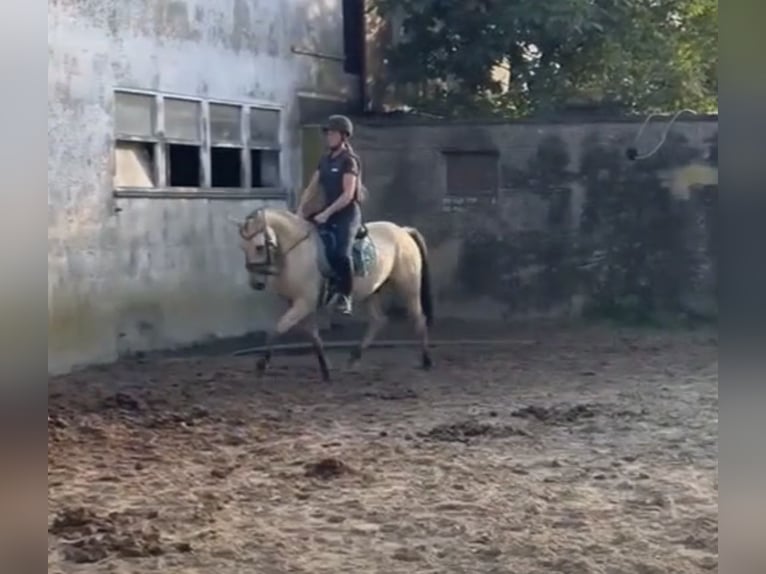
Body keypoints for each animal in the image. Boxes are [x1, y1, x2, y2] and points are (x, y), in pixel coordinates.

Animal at [231, 208, 436, 382]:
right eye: (242, 247)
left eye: (259, 247)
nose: (256, 283)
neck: (296, 252)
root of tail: (403, 231)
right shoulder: (299, 304)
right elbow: (313, 337)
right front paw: (326, 370)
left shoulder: (303, 303)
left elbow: (278, 328)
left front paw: (261, 364)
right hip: (371, 291)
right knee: (378, 320)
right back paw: (353, 358)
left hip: (408, 287)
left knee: (419, 318)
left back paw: (426, 361)